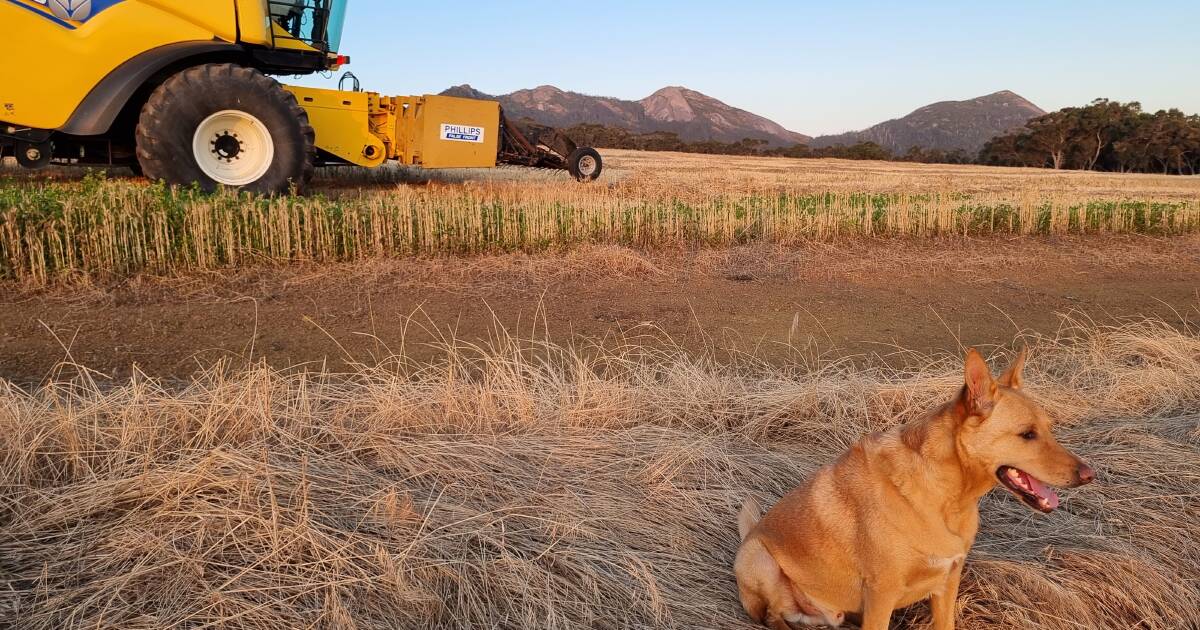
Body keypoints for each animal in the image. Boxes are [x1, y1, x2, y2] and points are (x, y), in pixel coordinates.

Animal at [734, 348, 1094, 628]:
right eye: (1027, 434)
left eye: (1049, 428)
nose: (1089, 474)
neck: (948, 498)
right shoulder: (881, 596)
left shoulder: (947, 583)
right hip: (759, 560)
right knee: (771, 617)